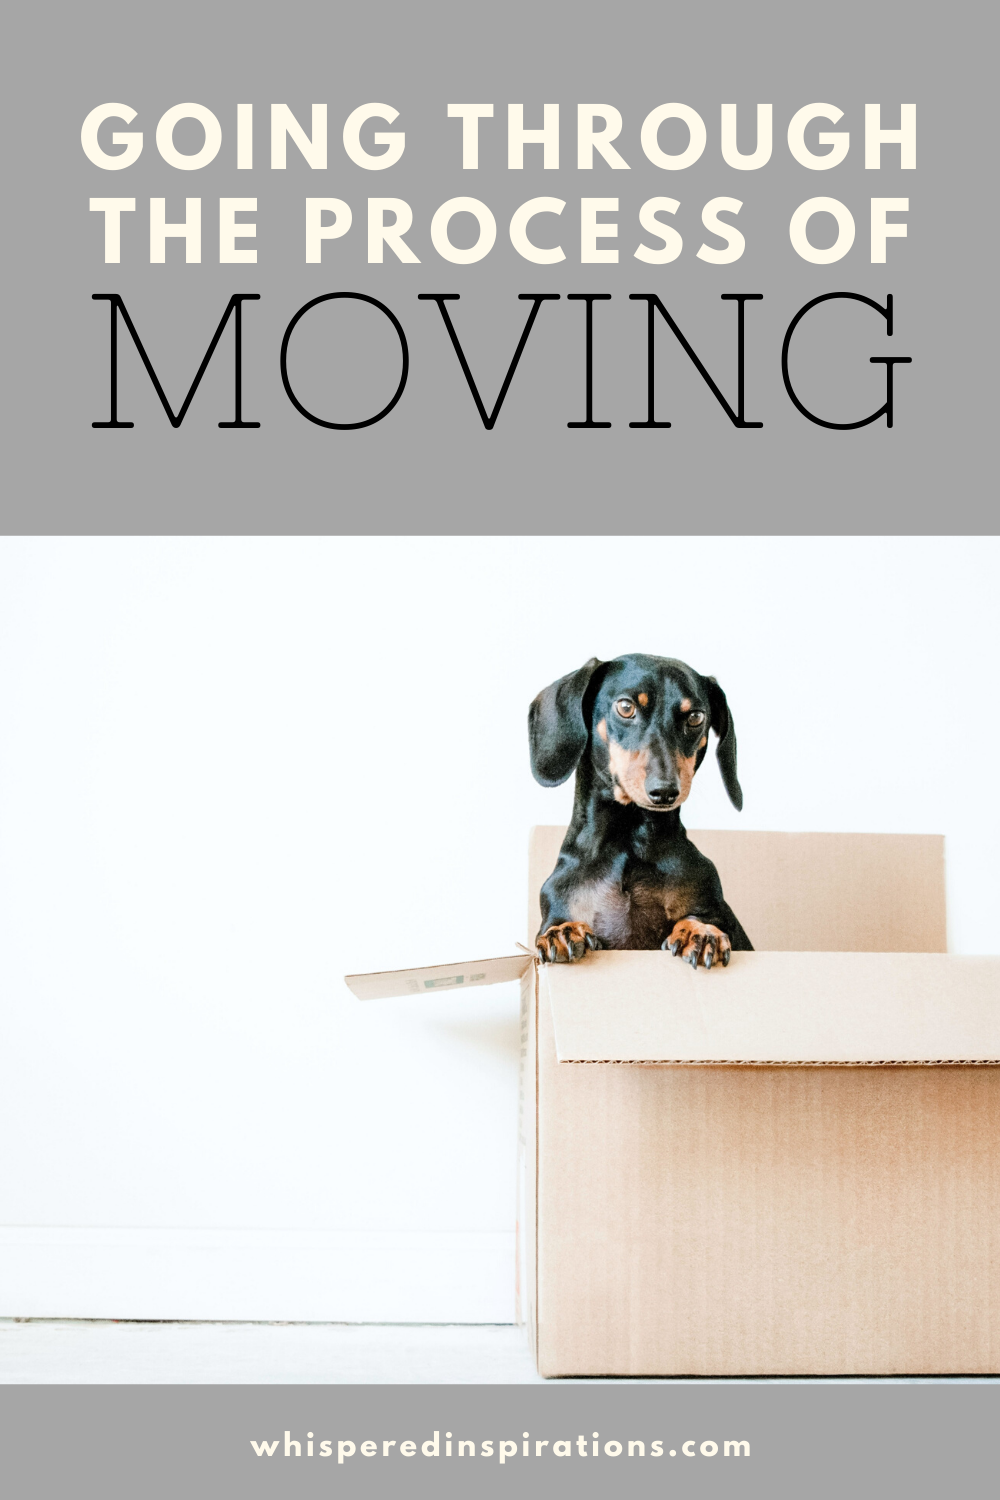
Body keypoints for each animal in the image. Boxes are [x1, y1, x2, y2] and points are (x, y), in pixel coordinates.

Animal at [530, 657, 749, 972]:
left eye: (696, 717)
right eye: (625, 707)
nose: (665, 791)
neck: (629, 840)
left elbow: (701, 917)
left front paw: (700, 932)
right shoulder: (557, 900)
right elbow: (557, 923)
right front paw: (563, 931)